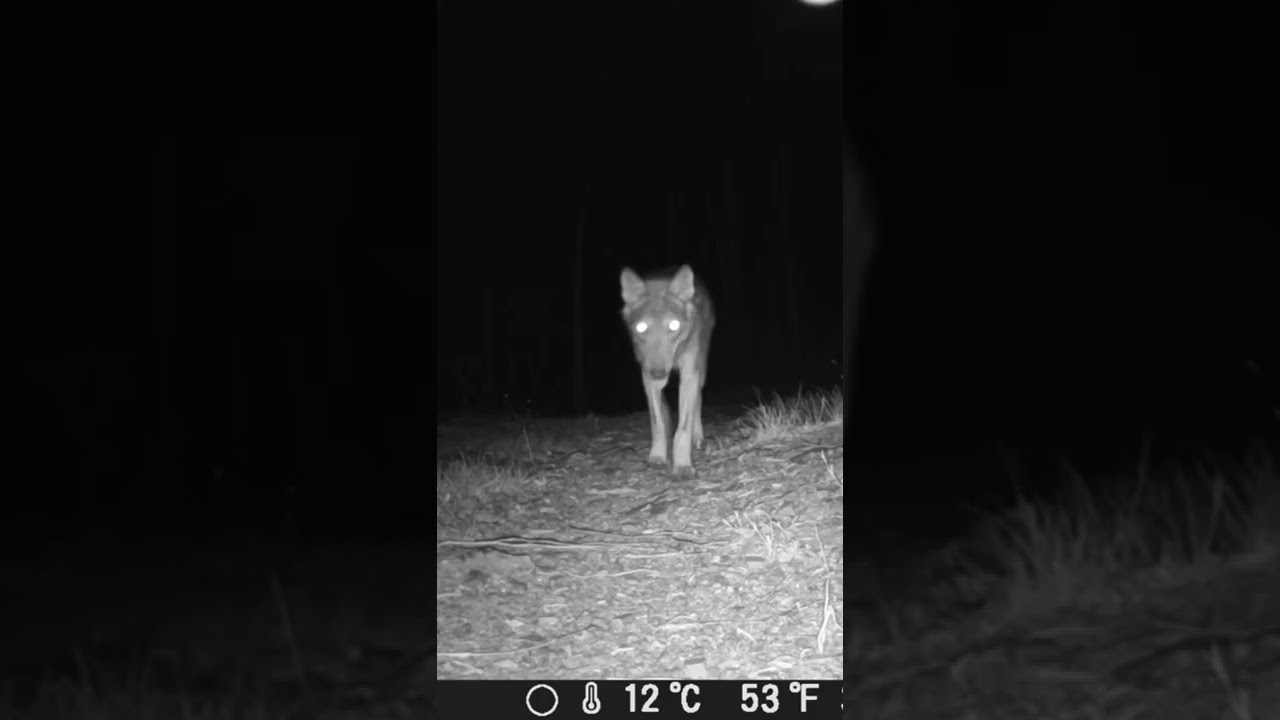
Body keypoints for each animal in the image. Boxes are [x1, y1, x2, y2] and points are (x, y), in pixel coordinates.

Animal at [620, 265, 715, 476]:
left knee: (699, 400)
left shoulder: (689, 374)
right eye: (641, 327)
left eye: (674, 325)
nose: (658, 373)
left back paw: (698, 438)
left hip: (701, 372)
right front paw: (657, 457)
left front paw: (682, 466)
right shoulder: (647, 376)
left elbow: (683, 428)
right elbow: (658, 422)